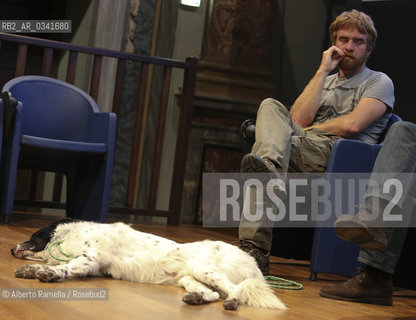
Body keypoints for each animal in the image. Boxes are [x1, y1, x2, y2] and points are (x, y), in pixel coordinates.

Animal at [10, 220, 286, 310]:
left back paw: (233, 303)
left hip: (203, 268)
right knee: (213, 294)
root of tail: (254, 264)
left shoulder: (91, 258)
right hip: (189, 278)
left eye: (33, 237)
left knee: (235, 291)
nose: (11, 249)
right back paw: (196, 299)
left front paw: (47, 273)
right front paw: (33, 270)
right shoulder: (91, 265)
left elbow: (63, 268)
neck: (68, 237)